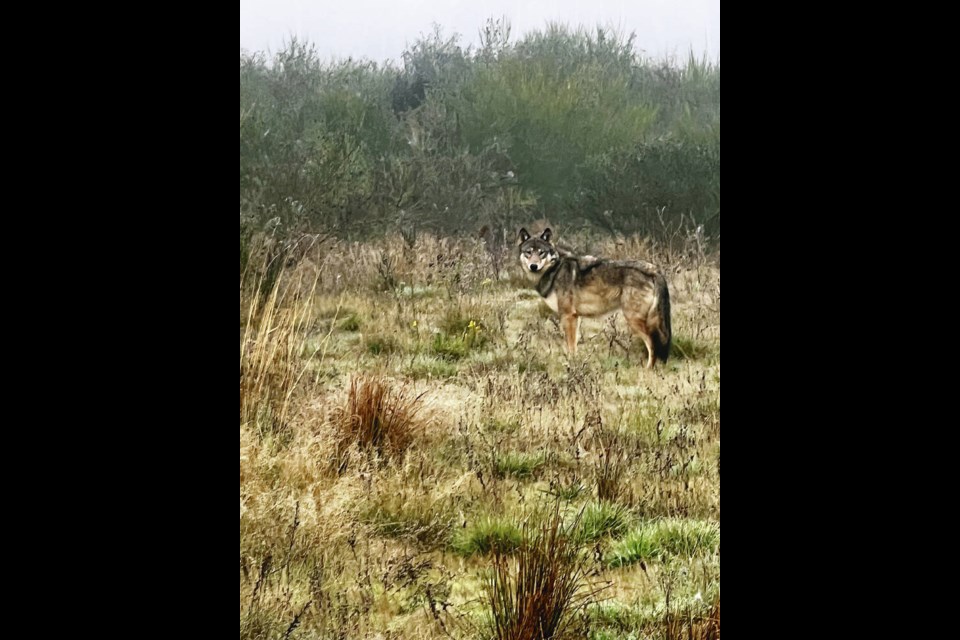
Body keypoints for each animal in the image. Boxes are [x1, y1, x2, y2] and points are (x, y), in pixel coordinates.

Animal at [520, 228, 672, 368]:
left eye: (541, 252)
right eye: (529, 252)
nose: (533, 266)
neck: (555, 270)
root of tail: (654, 270)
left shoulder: (568, 316)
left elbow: (570, 346)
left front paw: (571, 365)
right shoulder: (575, 317)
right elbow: (574, 345)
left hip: (634, 320)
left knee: (653, 344)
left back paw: (648, 369)